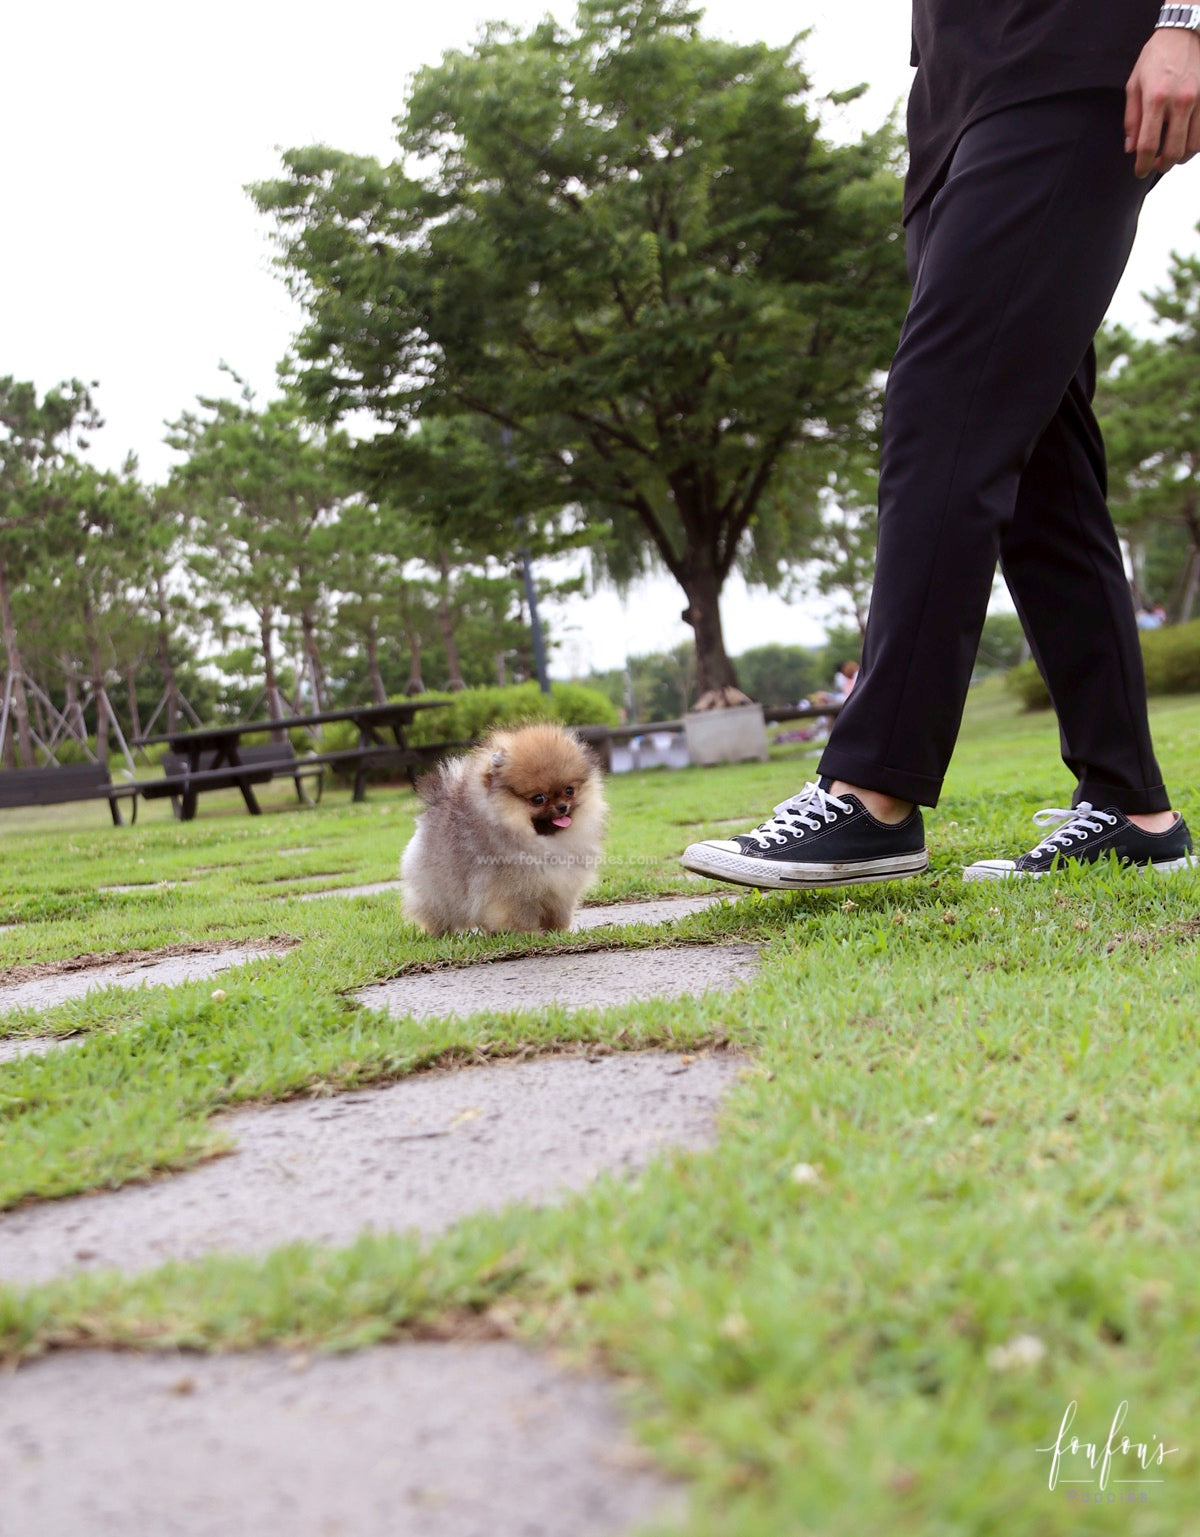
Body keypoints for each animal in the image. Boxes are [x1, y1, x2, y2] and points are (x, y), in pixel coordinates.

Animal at [399, 722, 605, 934]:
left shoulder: (561, 888)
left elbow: (559, 912)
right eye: (538, 799)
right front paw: (529, 933)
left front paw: (558, 931)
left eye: (569, 790)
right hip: (436, 892)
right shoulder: (515, 891)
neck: (545, 842)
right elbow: (522, 915)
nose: (563, 807)